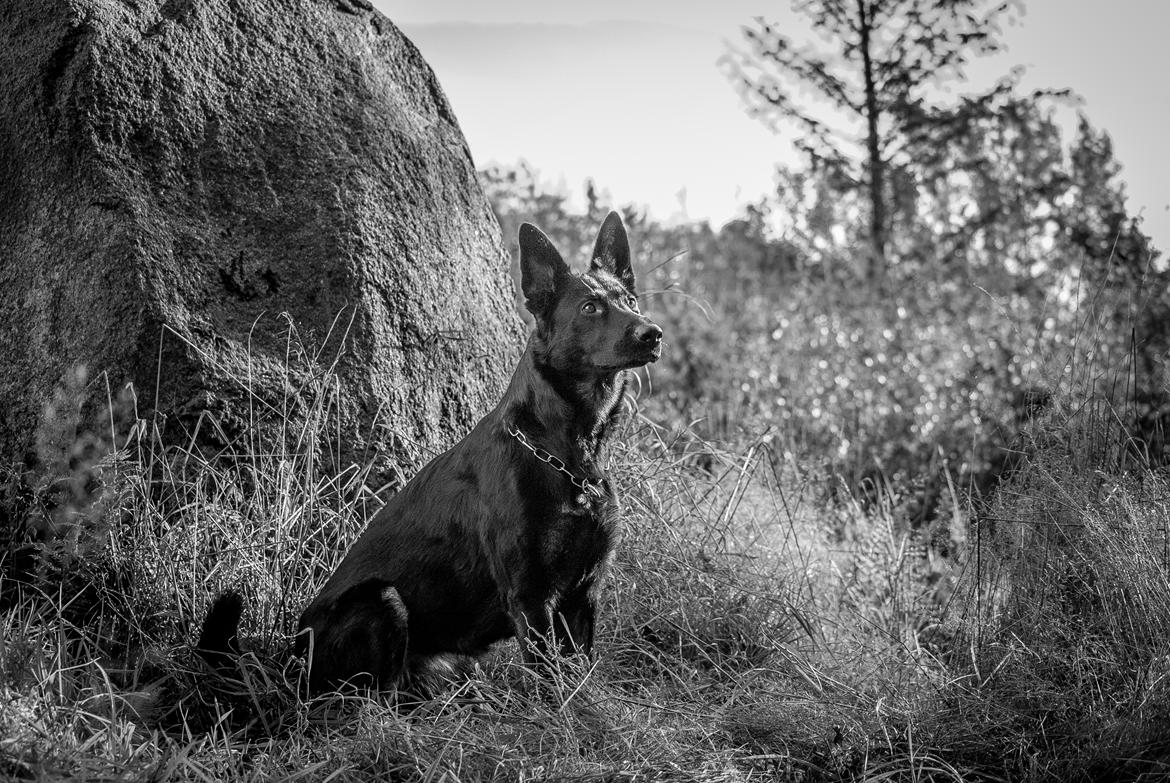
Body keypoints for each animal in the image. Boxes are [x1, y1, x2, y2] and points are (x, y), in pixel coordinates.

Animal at [197, 209, 664, 688]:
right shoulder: (532, 598)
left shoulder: (584, 594)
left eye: (631, 300)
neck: (567, 456)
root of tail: (291, 662)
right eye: (590, 308)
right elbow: (552, 683)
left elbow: (582, 675)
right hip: (382, 601)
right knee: (369, 697)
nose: (653, 334)